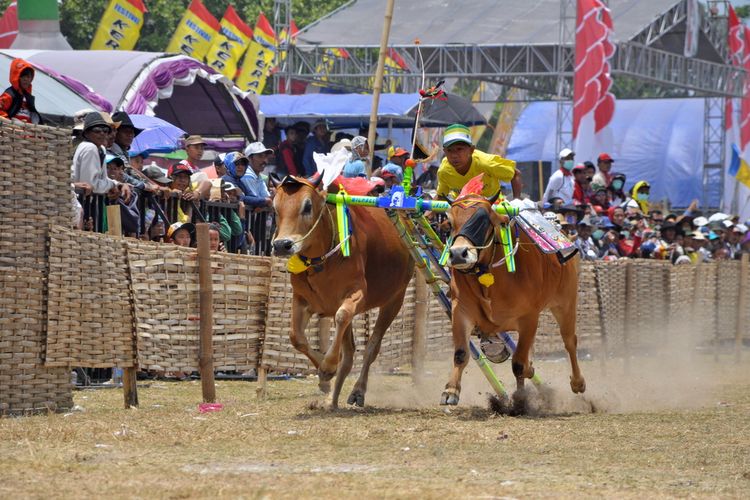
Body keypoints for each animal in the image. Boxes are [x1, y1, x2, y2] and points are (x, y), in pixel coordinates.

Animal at [272, 176, 414, 406]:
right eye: (275, 207)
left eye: (307, 206)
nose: (282, 245)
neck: (321, 261)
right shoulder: (302, 299)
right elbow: (296, 337)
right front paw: (323, 378)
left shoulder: (356, 294)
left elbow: (341, 317)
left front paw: (328, 367)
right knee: (349, 353)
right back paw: (332, 400)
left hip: (395, 300)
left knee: (372, 346)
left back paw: (357, 390)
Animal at [444, 194, 592, 406]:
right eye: (449, 223)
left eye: (485, 220)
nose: (458, 253)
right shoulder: (461, 311)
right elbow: (461, 353)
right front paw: (451, 391)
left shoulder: (529, 318)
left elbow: (518, 364)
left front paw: (521, 399)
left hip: (566, 303)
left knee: (569, 341)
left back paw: (577, 382)